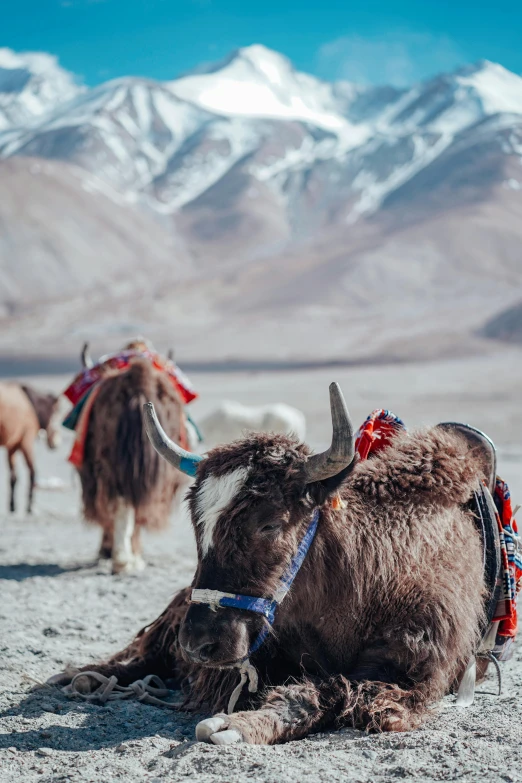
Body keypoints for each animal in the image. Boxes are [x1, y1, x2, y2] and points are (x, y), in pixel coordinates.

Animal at [0, 382, 60, 516]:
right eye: (56, 415)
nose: (57, 443)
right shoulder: (26, 441)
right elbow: (32, 471)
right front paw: (30, 506)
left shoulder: (13, 445)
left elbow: (13, 477)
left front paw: (12, 506)